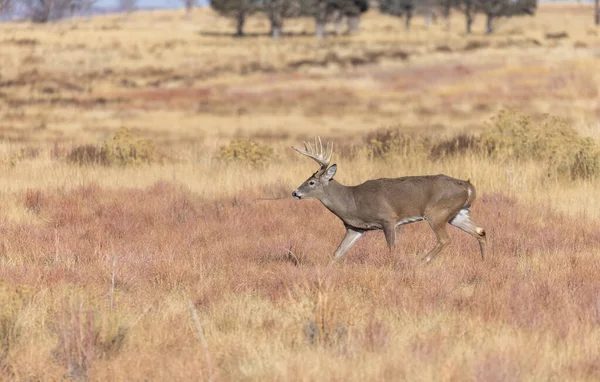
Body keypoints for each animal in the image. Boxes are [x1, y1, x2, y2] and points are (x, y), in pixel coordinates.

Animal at [292, 137, 488, 262]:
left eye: (311, 182)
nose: (295, 193)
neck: (352, 201)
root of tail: (468, 187)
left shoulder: (388, 219)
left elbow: (392, 249)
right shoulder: (355, 228)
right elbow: (337, 253)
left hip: (436, 213)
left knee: (445, 239)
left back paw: (421, 262)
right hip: (458, 214)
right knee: (480, 232)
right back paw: (484, 262)